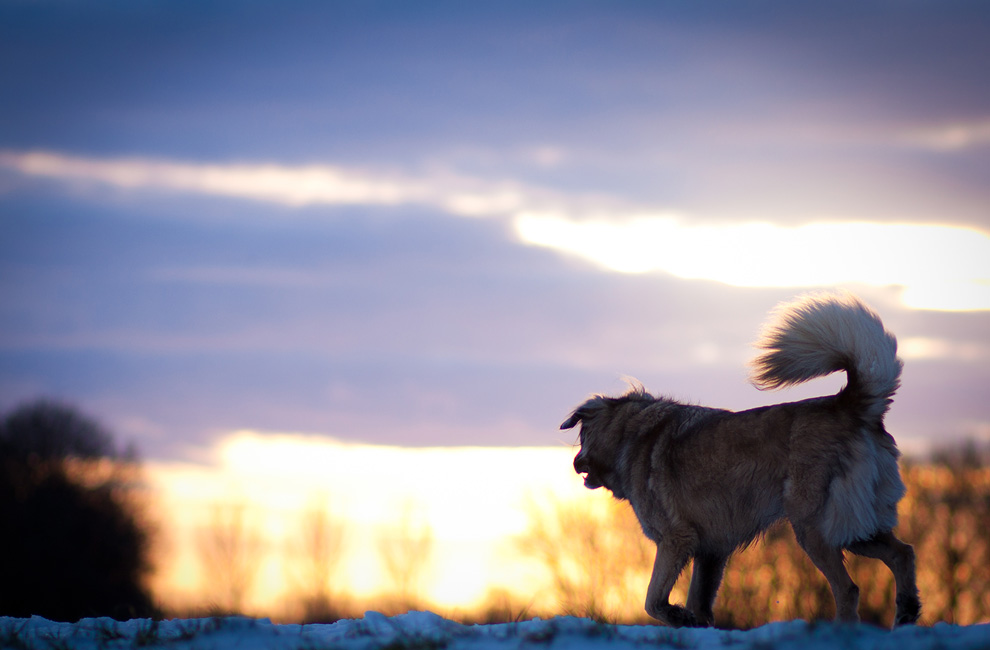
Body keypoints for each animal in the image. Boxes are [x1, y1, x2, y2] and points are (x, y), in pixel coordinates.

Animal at [564, 292, 924, 624]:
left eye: (581, 437)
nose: (575, 463)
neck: (631, 434)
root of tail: (851, 405)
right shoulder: (711, 551)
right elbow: (700, 604)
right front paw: (694, 623)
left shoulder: (676, 540)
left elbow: (653, 601)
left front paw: (677, 616)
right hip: (857, 525)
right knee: (903, 554)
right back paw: (907, 613)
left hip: (815, 525)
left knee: (848, 588)